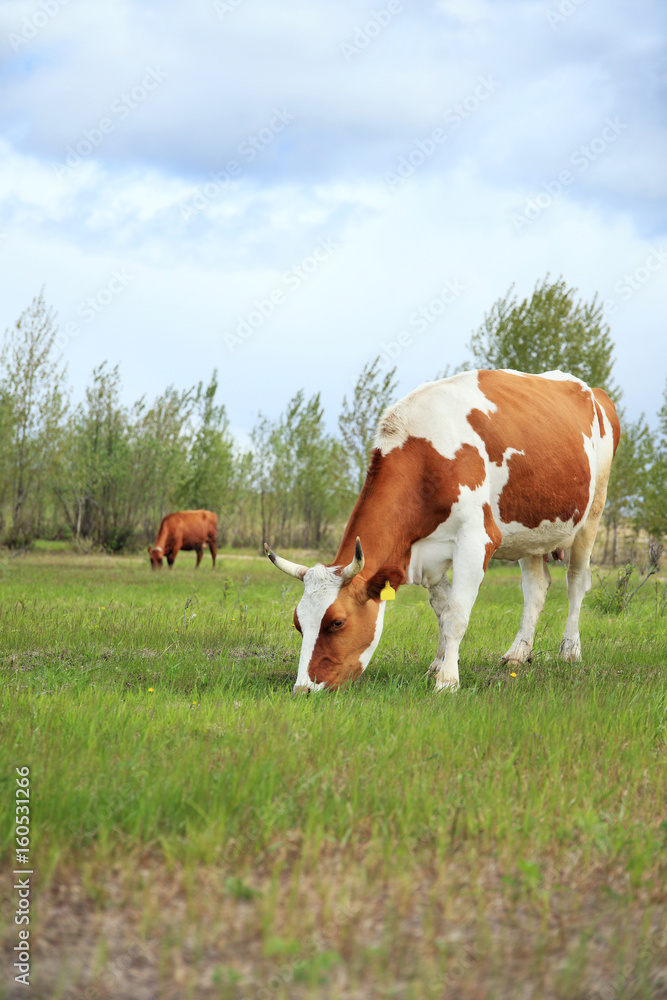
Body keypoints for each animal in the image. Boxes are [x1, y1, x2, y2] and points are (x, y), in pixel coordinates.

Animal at [264, 372, 620, 692]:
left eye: (337, 622)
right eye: (298, 622)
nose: (303, 689)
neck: (426, 457)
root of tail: (593, 390)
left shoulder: (476, 541)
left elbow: (456, 615)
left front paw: (447, 681)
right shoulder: (425, 552)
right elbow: (441, 608)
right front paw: (438, 664)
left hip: (593, 512)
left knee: (576, 583)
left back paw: (570, 650)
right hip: (530, 531)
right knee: (536, 588)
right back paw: (518, 653)